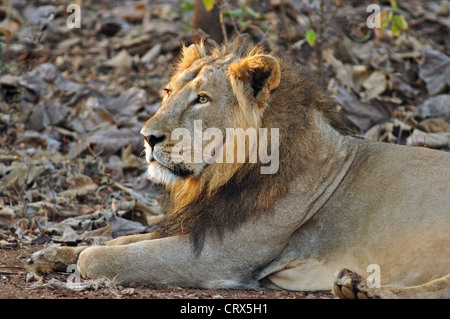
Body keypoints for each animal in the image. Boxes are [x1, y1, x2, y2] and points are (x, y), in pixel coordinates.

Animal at [26, 36, 448, 298]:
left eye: (201, 99)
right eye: (168, 92)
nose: (147, 137)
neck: (215, 178)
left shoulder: (220, 256)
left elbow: (102, 256)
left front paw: (76, 258)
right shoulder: (202, 225)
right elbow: (119, 241)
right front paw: (51, 254)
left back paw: (361, 289)